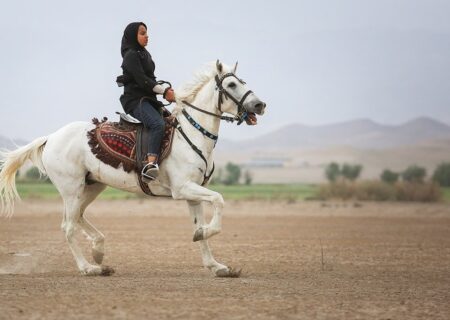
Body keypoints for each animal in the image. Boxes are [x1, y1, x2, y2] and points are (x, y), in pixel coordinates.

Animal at [0, 61, 266, 276]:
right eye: (231, 84)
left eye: (242, 82)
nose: (260, 105)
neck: (192, 134)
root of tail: (51, 137)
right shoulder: (183, 189)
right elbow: (219, 200)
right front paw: (208, 240)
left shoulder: (193, 194)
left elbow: (200, 227)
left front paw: (216, 265)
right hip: (71, 189)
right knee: (68, 226)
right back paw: (89, 268)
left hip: (91, 187)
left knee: (78, 217)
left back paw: (99, 252)